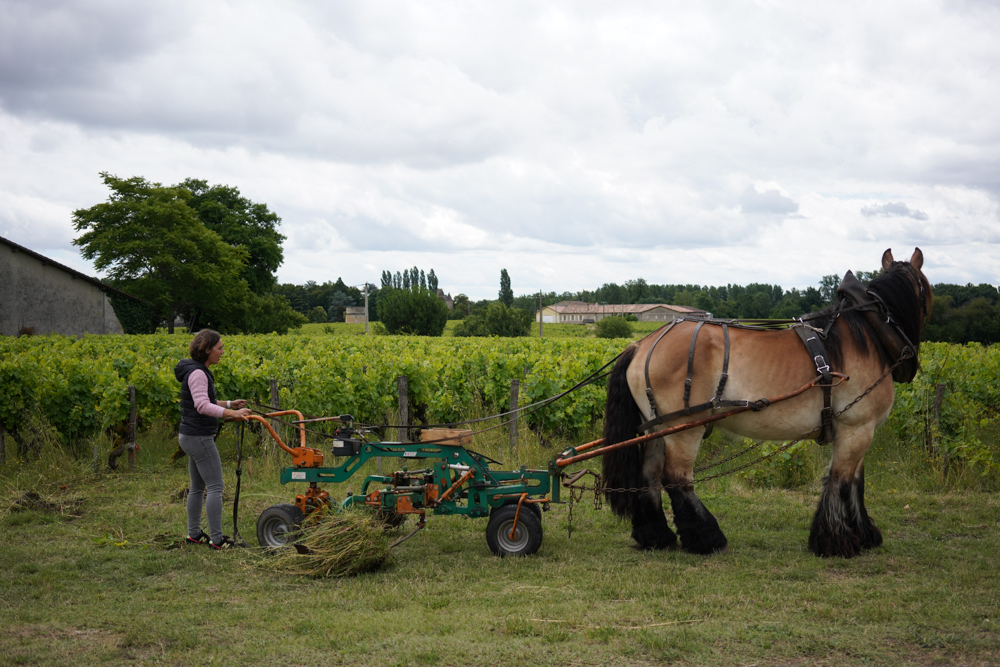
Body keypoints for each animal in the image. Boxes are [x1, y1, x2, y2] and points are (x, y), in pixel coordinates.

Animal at [604, 249, 932, 560]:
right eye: (926, 288)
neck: (869, 335)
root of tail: (642, 344)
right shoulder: (857, 427)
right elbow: (840, 482)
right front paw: (836, 541)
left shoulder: (858, 429)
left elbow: (856, 484)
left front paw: (863, 535)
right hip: (683, 427)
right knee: (676, 479)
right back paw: (707, 538)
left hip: (656, 426)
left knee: (649, 475)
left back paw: (656, 536)